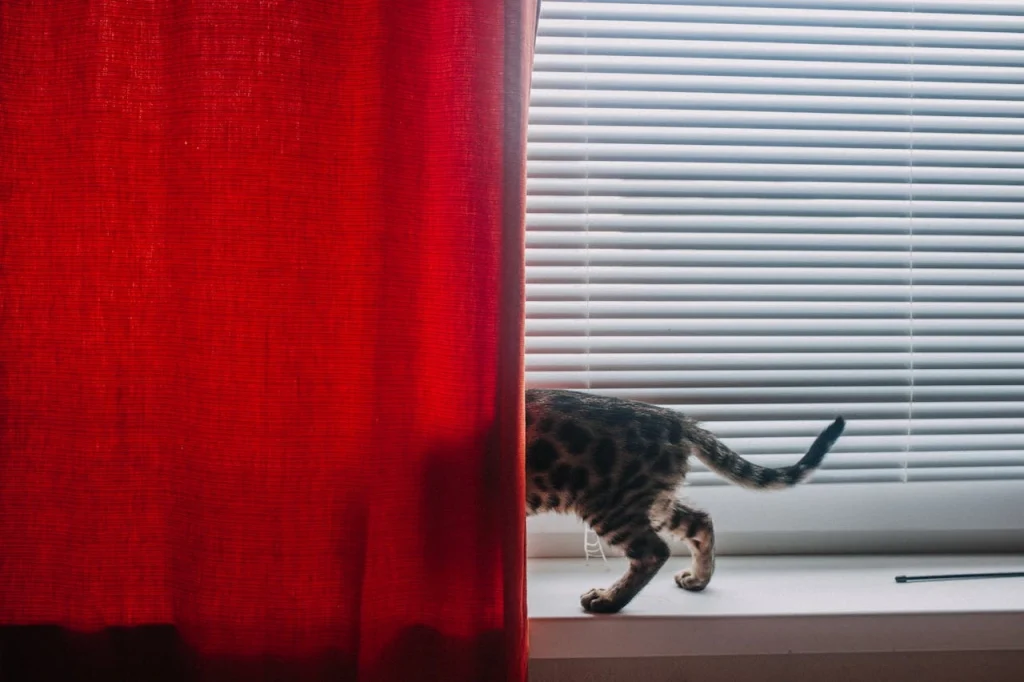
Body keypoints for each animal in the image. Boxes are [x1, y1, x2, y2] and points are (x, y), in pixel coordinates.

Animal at [524, 385, 843, 614]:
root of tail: (676, 420)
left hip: (612, 504)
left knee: (654, 551)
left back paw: (609, 599)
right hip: (649, 500)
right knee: (700, 522)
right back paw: (699, 579)